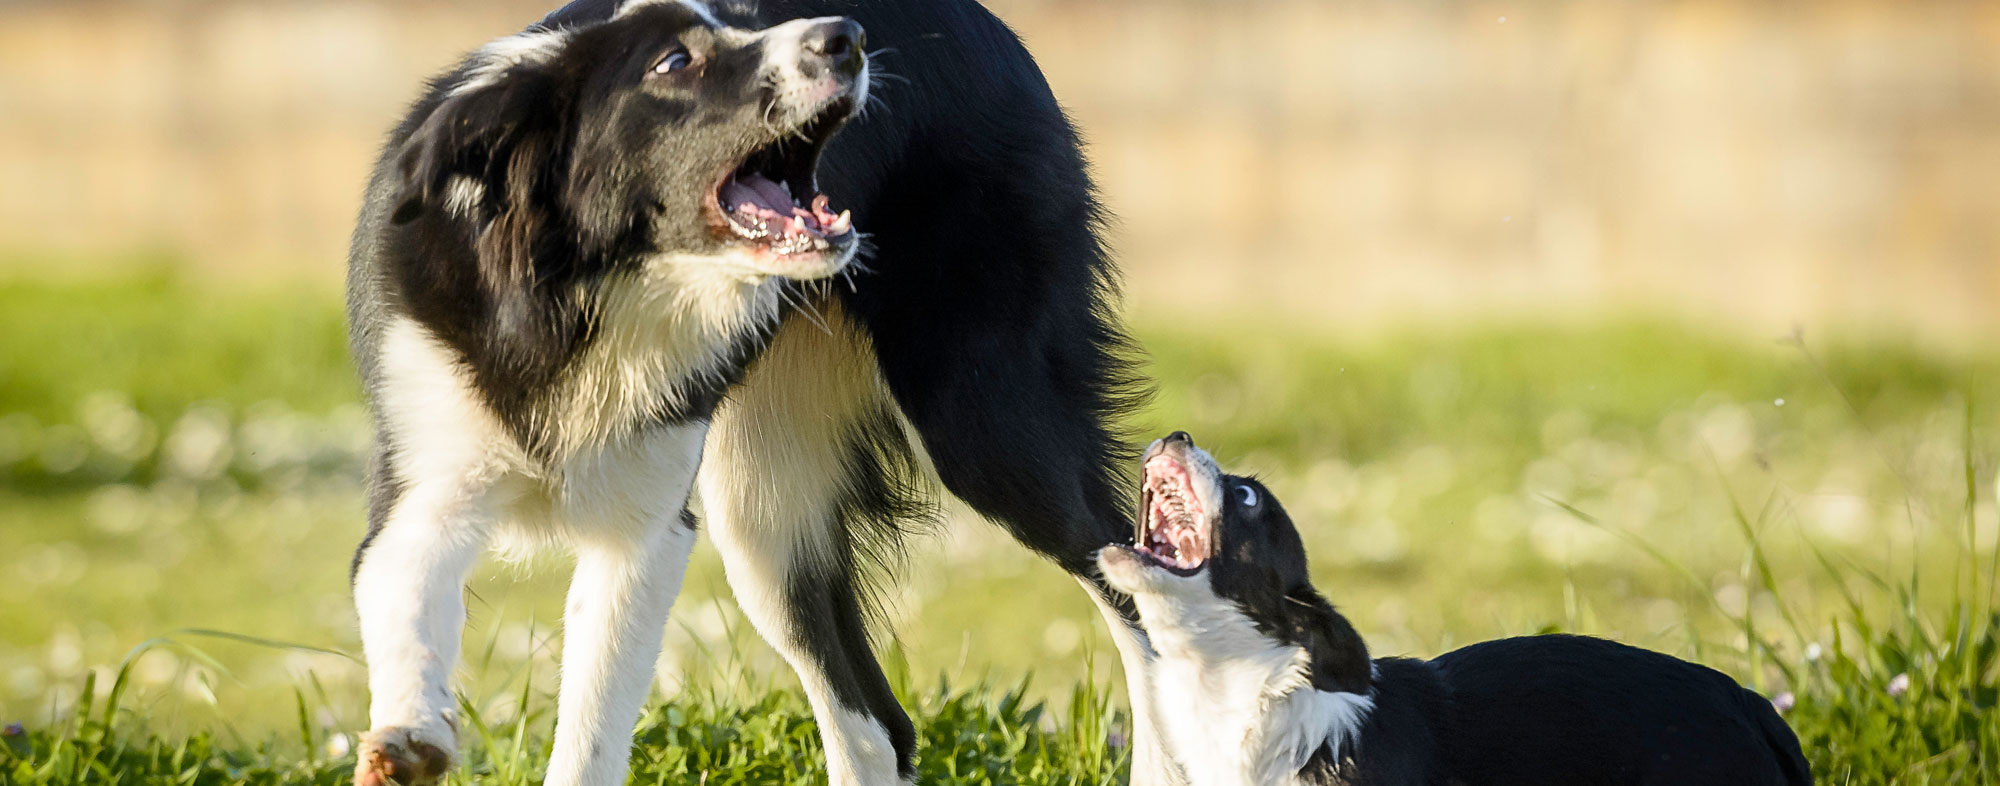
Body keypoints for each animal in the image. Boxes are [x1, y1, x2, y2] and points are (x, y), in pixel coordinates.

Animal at [344, 1, 1168, 784]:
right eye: (675, 61)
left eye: (744, 24)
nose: (848, 38)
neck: (579, 296)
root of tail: (993, 27)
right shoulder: (425, 469)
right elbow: (402, 588)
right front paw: (409, 737)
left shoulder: (644, 534)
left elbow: (593, 728)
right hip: (765, 515)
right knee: (876, 729)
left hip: (985, 424)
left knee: (1129, 583)